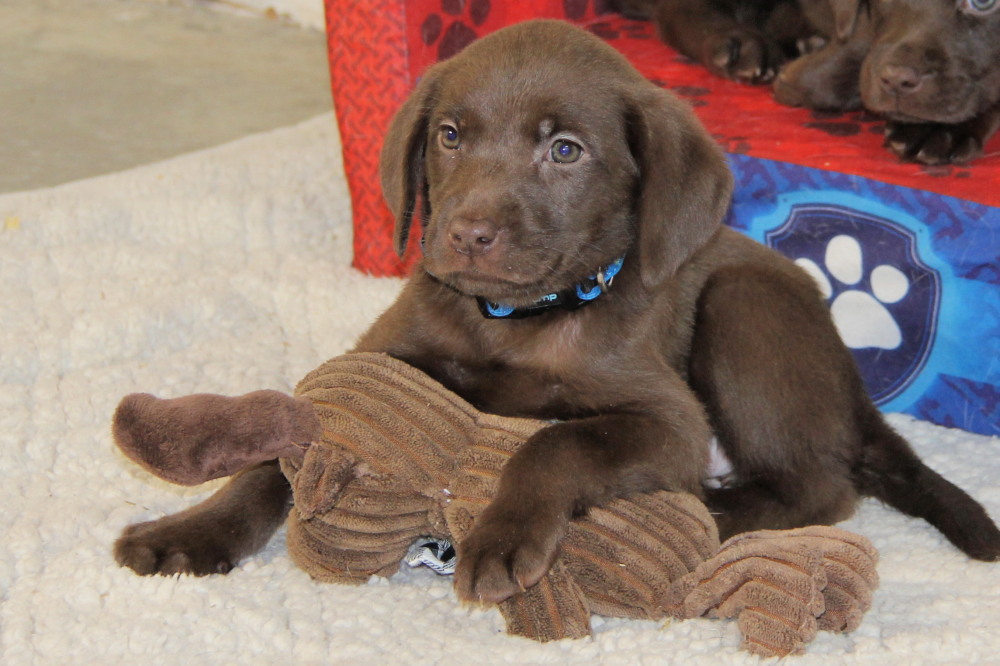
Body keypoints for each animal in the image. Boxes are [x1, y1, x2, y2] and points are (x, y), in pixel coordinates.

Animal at [113, 20, 996, 600]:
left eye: (564, 151)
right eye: (450, 135)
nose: (468, 234)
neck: (514, 322)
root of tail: (852, 388)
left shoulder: (667, 419)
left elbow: (558, 442)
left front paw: (504, 536)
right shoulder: (384, 358)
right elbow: (272, 456)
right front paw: (188, 532)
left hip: (744, 311)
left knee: (824, 486)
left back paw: (712, 511)